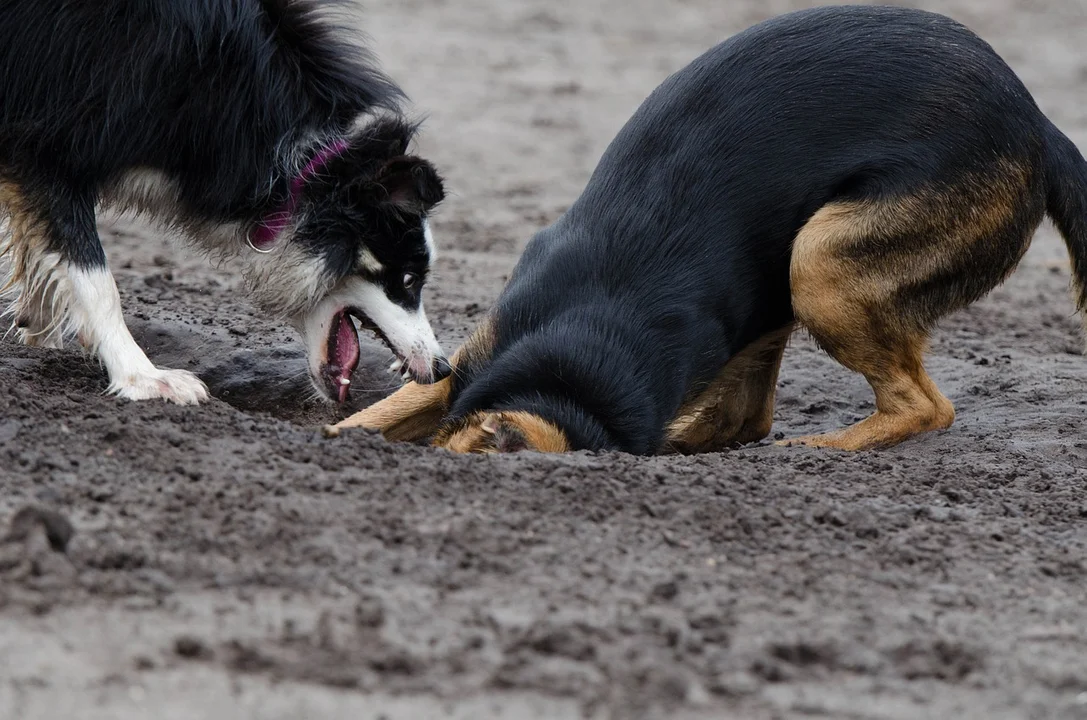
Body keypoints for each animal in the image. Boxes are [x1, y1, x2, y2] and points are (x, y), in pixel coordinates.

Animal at [0, 0, 450, 406]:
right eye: (408, 279)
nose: (442, 369)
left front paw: (37, 327)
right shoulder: (61, 126)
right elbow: (93, 274)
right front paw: (148, 380)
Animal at [321, 4, 1087, 456]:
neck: (574, 370)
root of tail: (1037, 126)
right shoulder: (472, 358)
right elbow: (391, 408)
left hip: (819, 265)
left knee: (924, 407)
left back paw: (809, 452)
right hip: (789, 284)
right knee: (752, 416)